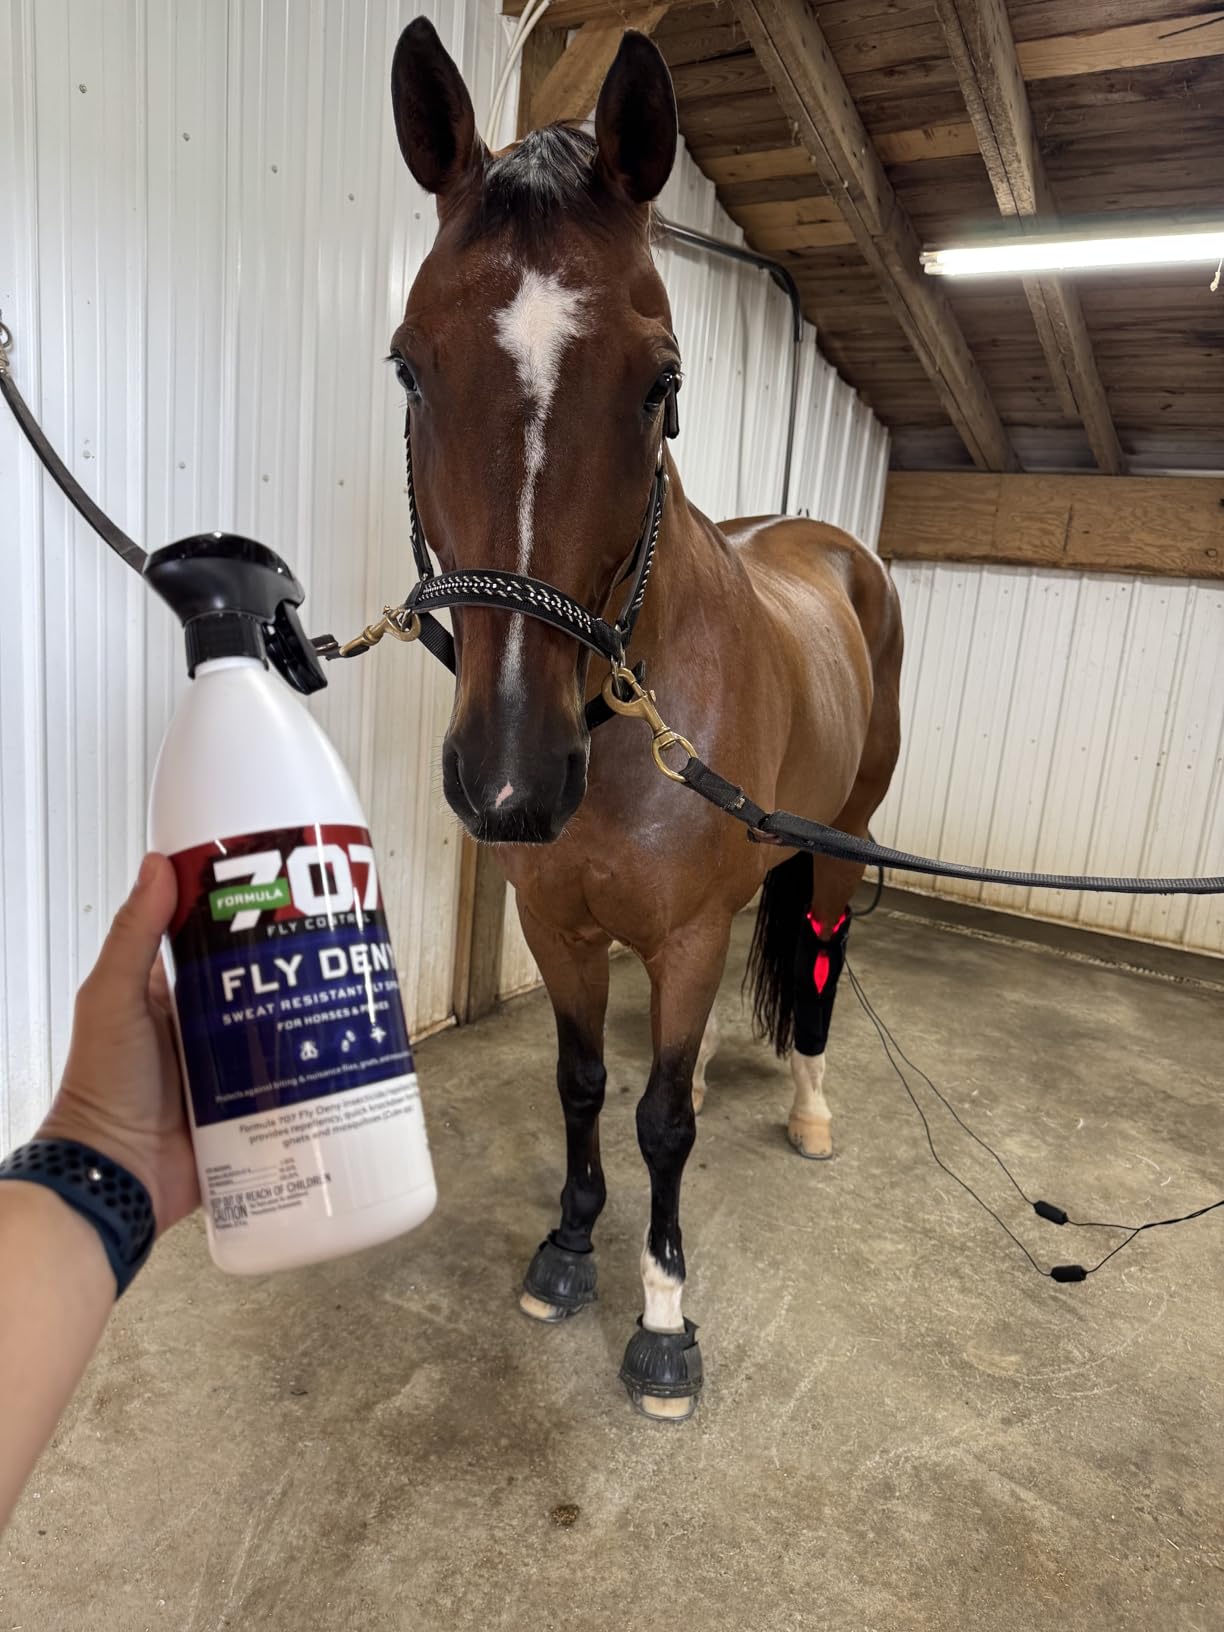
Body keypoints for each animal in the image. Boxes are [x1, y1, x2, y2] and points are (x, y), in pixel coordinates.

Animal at [388, 19, 903, 1420]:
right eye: (409, 366)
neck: (625, 730)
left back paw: (812, 1109)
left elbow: (662, 1121)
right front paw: (568, 1246)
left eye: (662, 380)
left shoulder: (680, 938)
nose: (511, 780)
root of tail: (830, 542)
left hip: (841, 840)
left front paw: (664, 1315)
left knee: (820, 948)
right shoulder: (556, 926)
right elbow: (582, 1084)